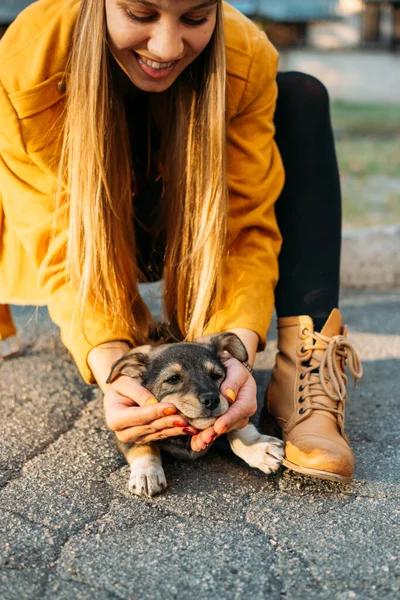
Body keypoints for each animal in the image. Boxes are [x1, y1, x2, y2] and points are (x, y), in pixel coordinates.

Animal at [106, 332, 284, 496]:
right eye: (173, 379)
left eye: (216, 375)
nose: (211, 400)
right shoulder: (126, 428)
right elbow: (141, 443)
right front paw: (146, 472)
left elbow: (239, 428)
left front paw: (259, 448)